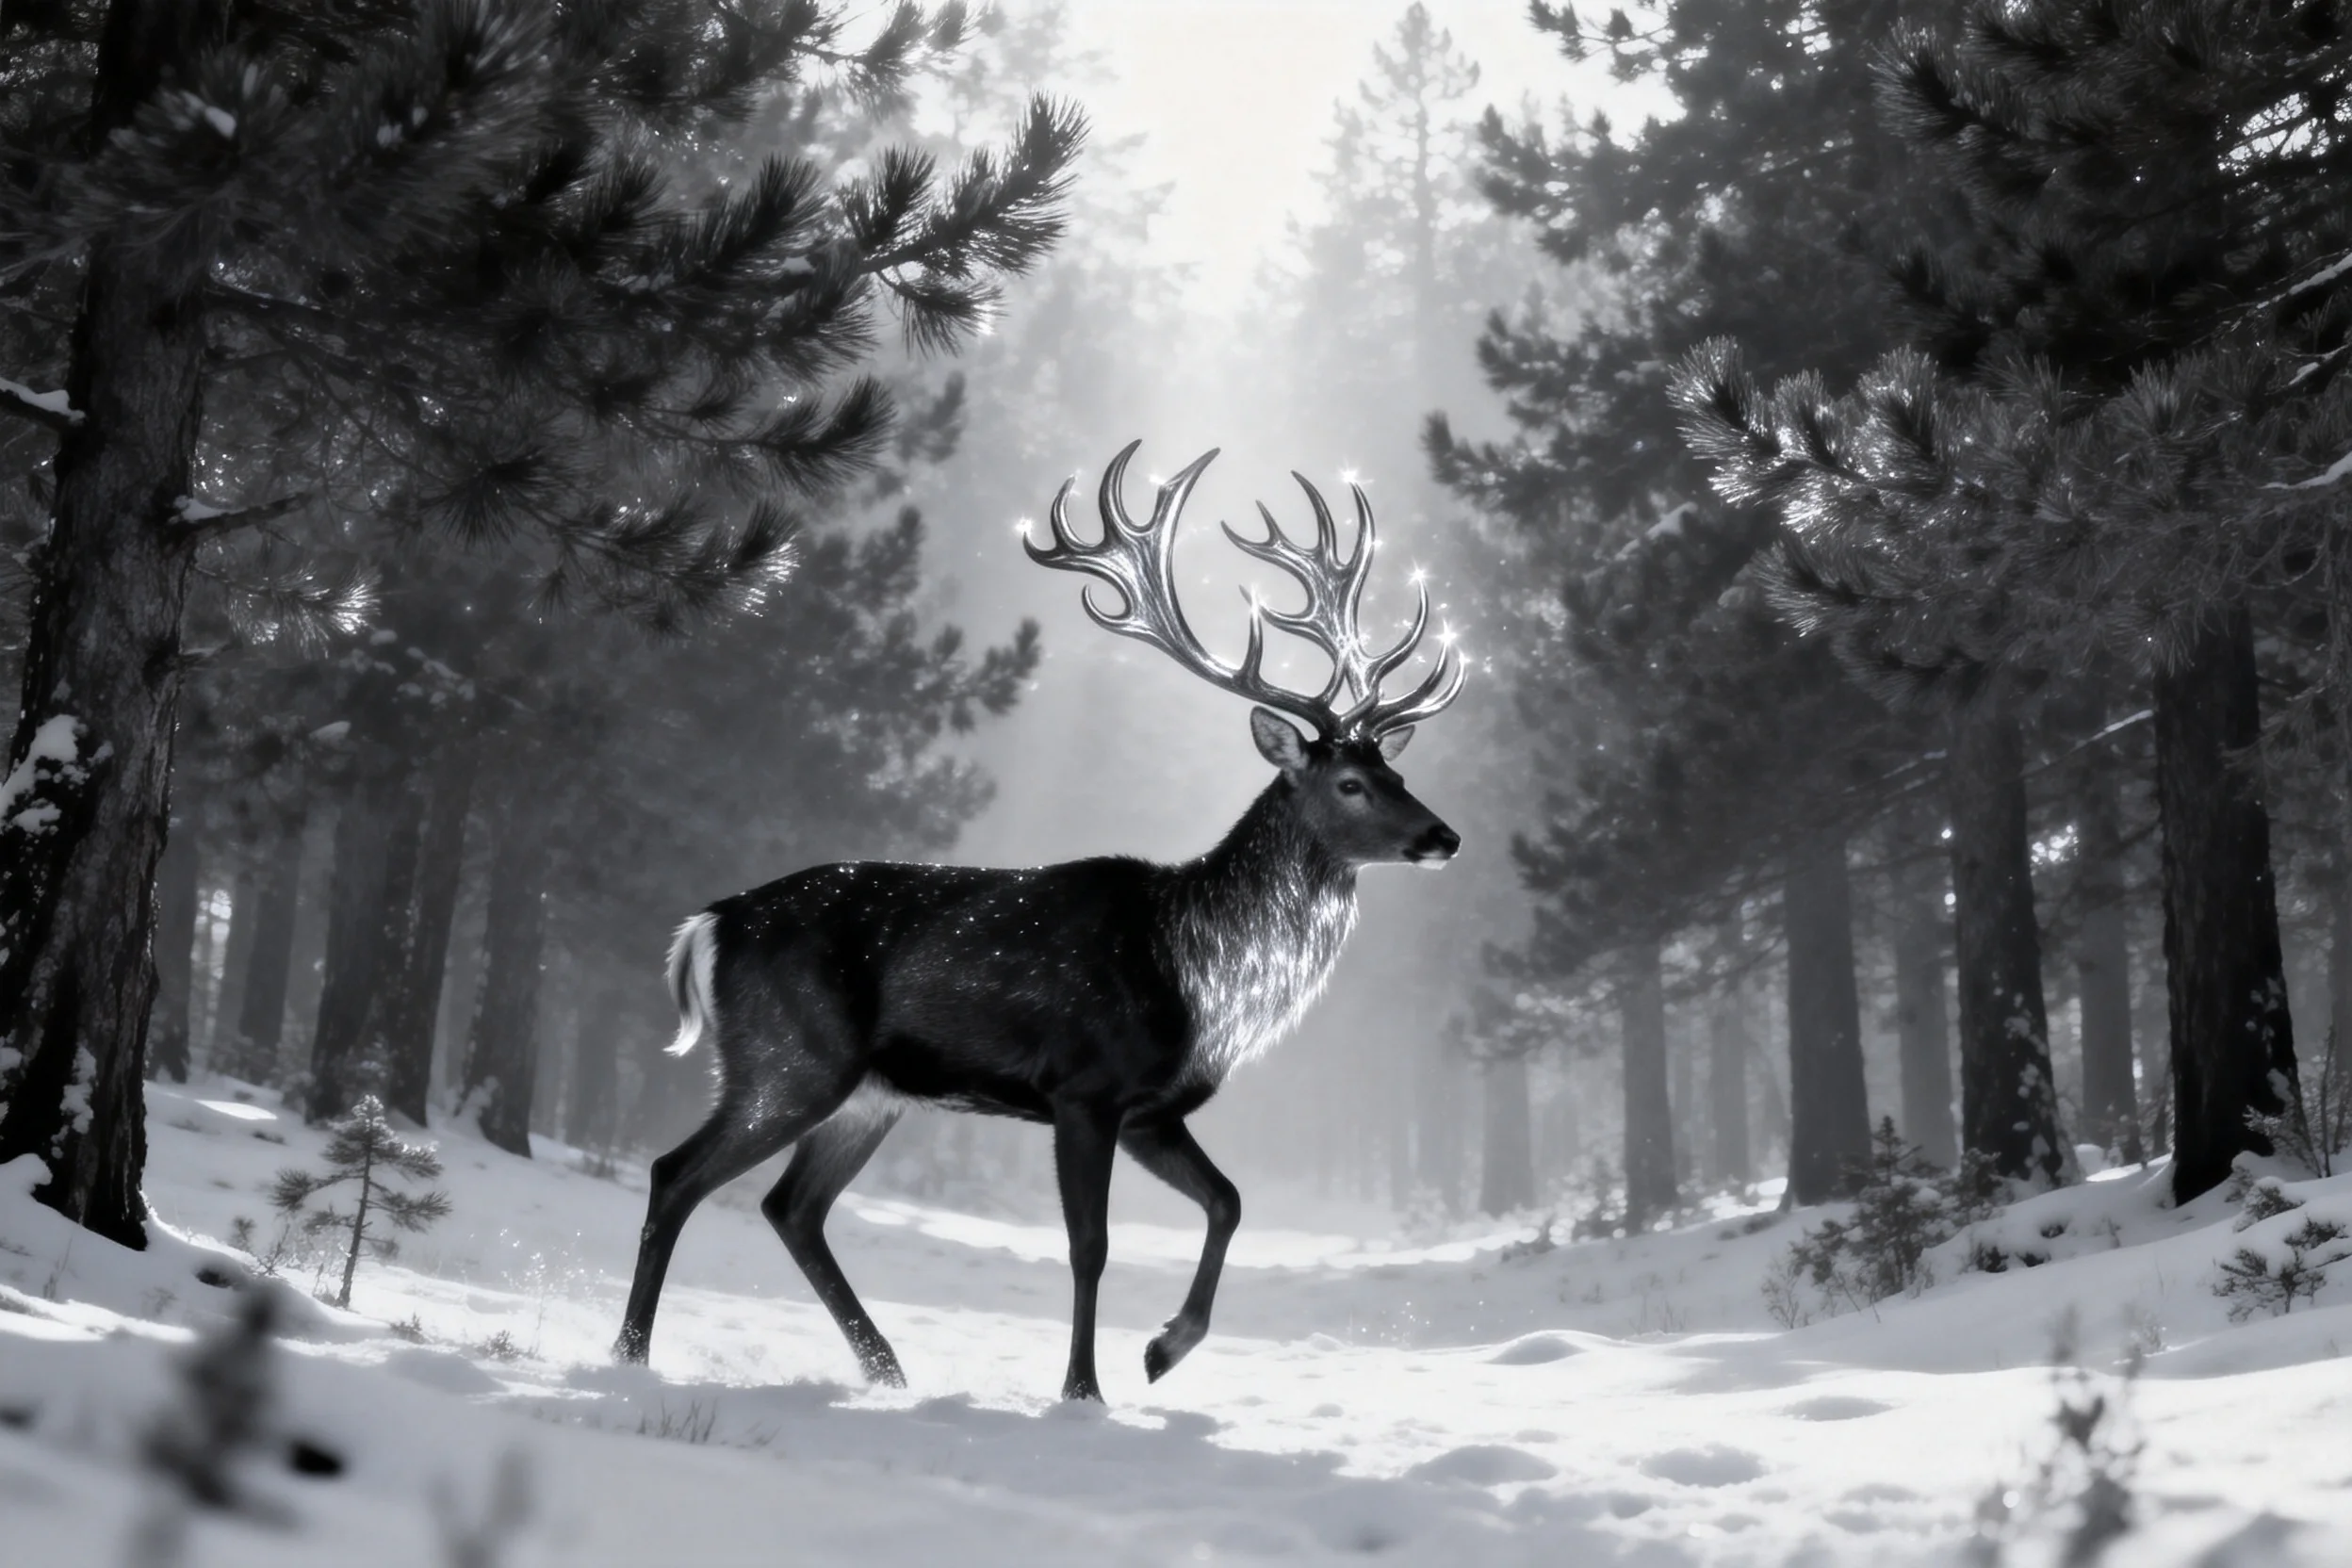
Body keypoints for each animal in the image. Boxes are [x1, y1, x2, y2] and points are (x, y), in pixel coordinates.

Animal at [613, 441, 1464, 1402]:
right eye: (1351, 784)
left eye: (1397, 773)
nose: (1444, 836)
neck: (1198, 973)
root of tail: (709, 924)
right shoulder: (1083, 1087)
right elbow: (1090, 1245)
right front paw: (1084, 1389)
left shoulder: (1152, 1109)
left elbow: (1229, 1200)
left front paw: (1165, 1349)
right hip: (791, 1056)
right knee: (676, 1174)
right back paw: (630, 1355)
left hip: (868, 1091)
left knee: (790, 1205)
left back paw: (887, 1370)